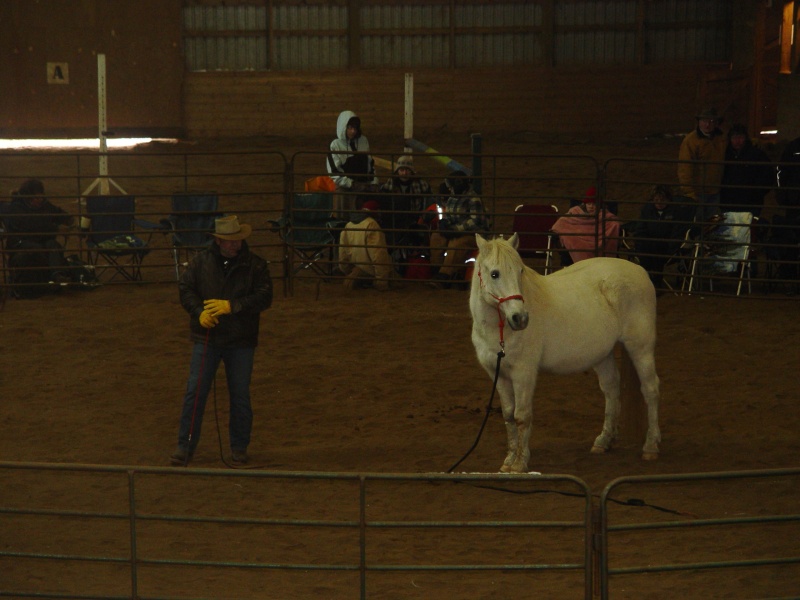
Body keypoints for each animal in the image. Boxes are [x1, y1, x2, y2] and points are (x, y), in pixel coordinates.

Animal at [472, 234, 660, 474]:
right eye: (494, 273)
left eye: (520, 271)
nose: (520, 318)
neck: (500, 330)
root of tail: (641, 271)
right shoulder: (498, 374)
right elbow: (507, 415)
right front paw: (508, 461)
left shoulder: (523, 373)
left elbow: (521, 416)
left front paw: (520, 463)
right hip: (603, 354)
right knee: (611, 389)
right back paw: (603, 441)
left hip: (640, 348)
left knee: (650, 389)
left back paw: (651, 447)